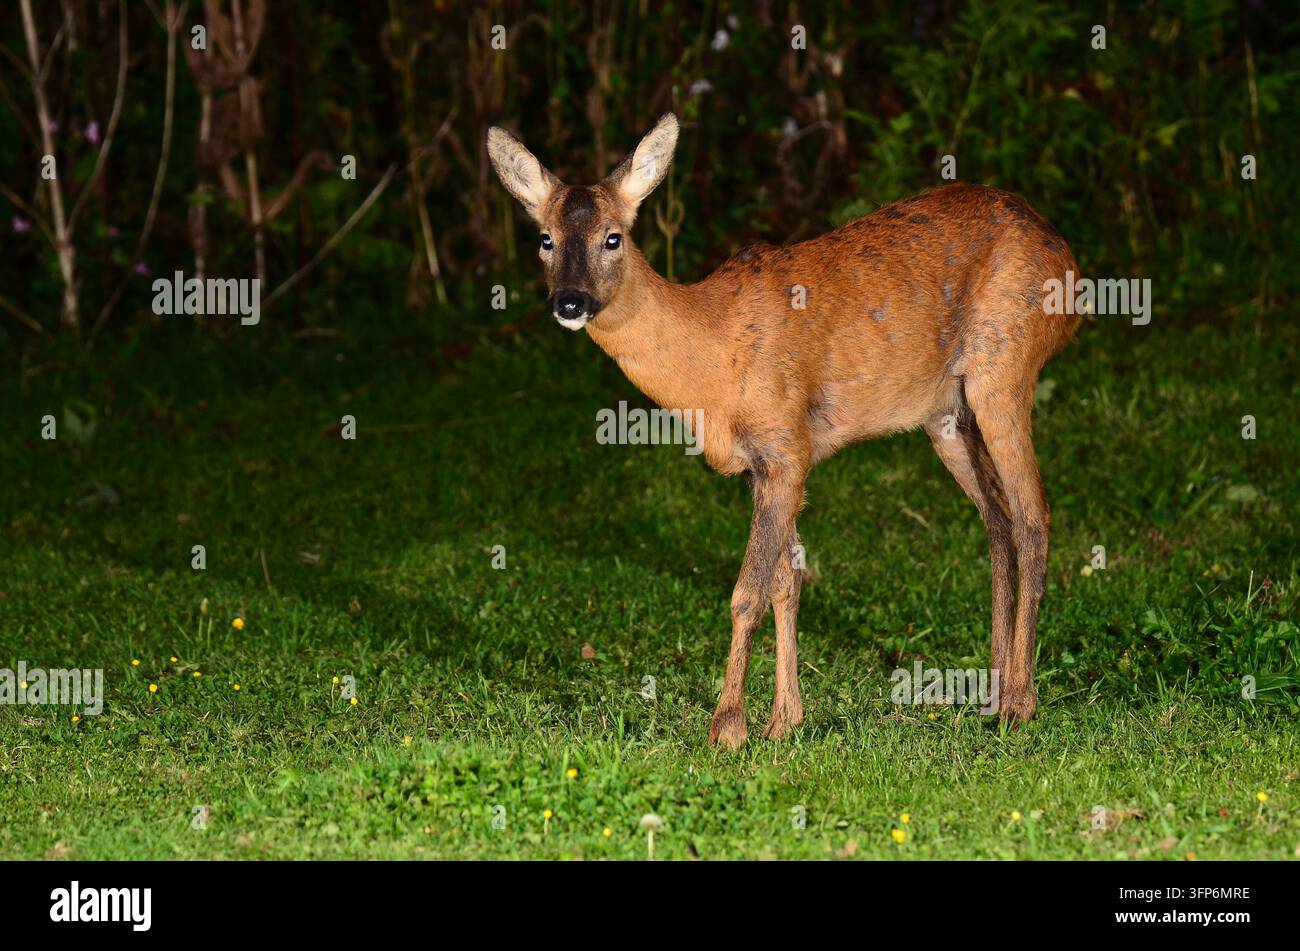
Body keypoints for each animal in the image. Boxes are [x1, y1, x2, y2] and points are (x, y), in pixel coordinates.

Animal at [487, 113, 1080, 747]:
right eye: (545, 238)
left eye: (613, 237)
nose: (569, 302)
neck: (711, 356)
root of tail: (1069, 263)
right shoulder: (761, 464)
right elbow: (785, 582)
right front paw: (783, 720)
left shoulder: (785, 444)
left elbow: (746, 592)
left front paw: (728, 727)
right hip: (947, 414)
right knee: (997, 519)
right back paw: (992, 690)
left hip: (1005, 367)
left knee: (1033, 516)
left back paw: (1020, 703)